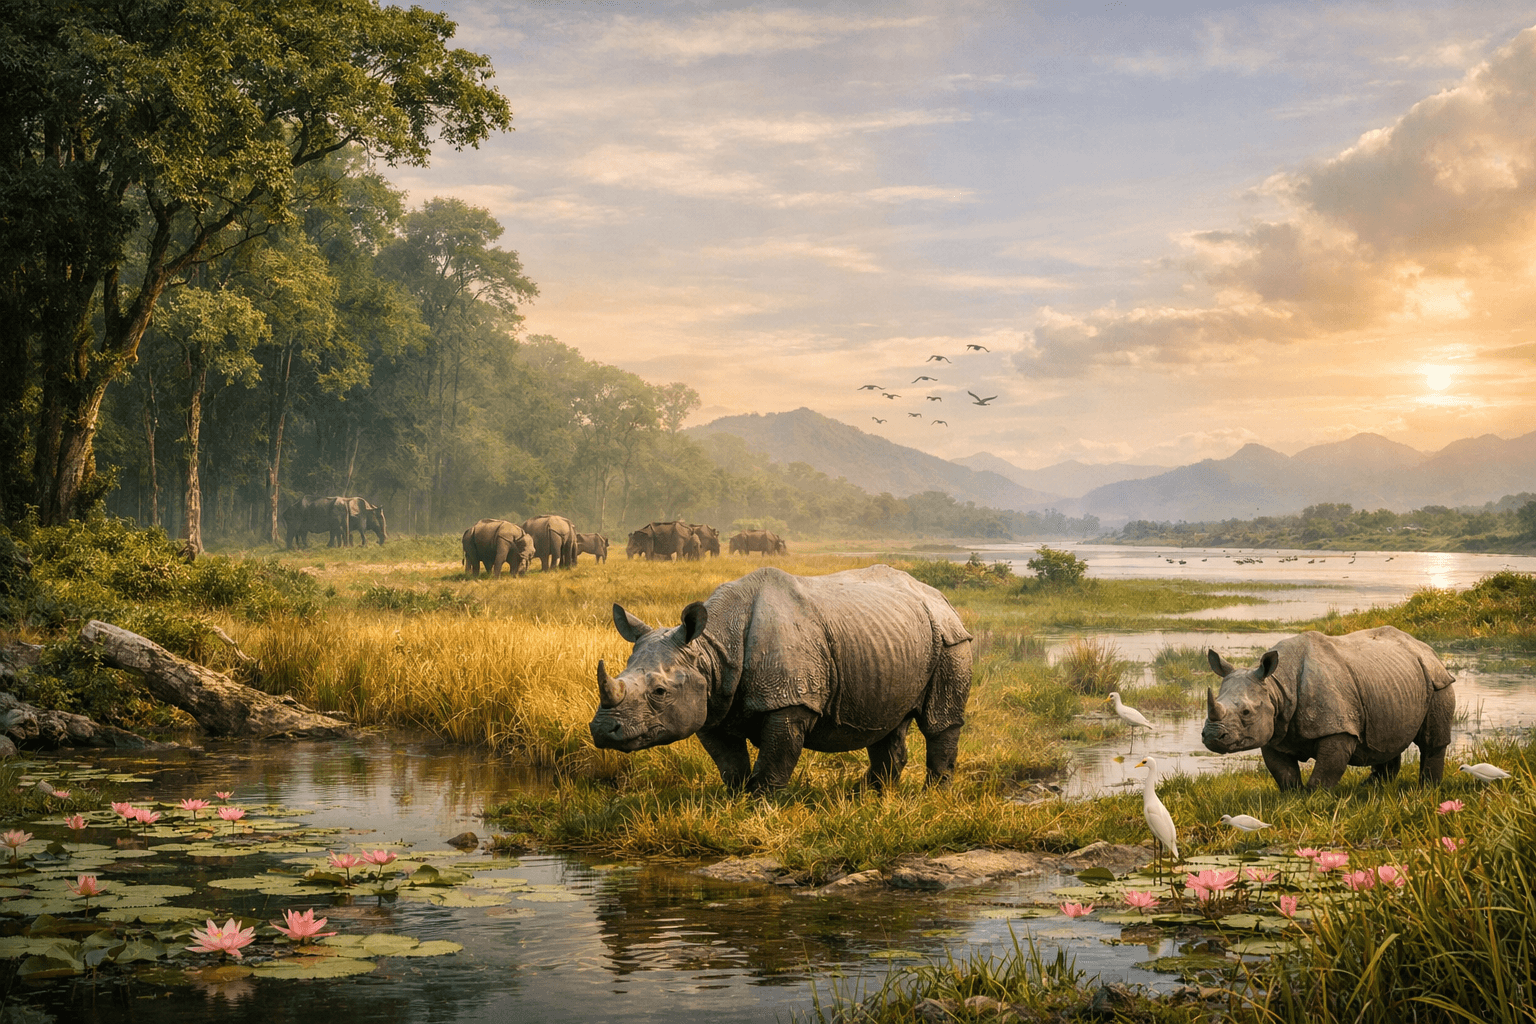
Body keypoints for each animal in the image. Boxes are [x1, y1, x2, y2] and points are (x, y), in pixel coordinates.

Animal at [589, 565, 973, 792]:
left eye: (658, 691)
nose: (603, 729)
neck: (712, 650)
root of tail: (941, 596)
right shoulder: (710, 703)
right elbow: (730, 764)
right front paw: (734, 801)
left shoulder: (789, 702)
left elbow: (775, 762)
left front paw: (762, 807)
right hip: (891, 640)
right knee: (887, 723)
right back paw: (869, 797)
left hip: (950, 638)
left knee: (940, 721)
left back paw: (933, 797)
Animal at [1202, 625, 1455, 790]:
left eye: (1246, 712)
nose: (1212, 736)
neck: (1276, 686)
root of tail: (1425, 647)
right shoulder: (1275, 730)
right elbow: (1284, 773)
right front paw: (1292, 799)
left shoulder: (1338, 728)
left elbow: (1325, 773)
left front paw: (1314, 801)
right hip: (1391, 681)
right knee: (1386, 739)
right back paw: (1370, 789)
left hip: (1437, 680)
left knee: (1431, 741)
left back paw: (1427, 790)